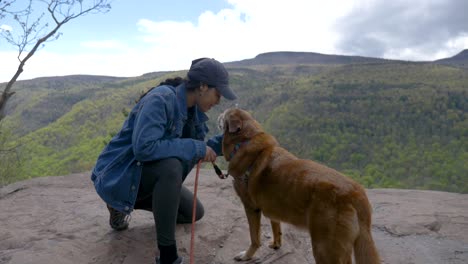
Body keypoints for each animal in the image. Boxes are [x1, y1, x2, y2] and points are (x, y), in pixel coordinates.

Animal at [220, 108, 380, 262]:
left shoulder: (251, 207)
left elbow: (255, 238)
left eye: (225, 113)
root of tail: (357, 194)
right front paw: (276, 244)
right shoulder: (272, 205)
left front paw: (247, 255)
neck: (245, 141)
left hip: (324, 246)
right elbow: (275, 226)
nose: (219, 112)